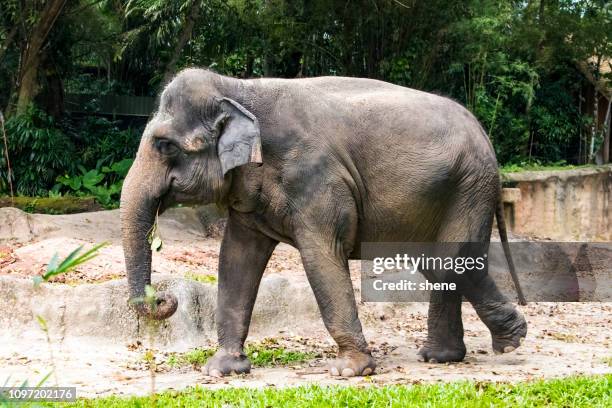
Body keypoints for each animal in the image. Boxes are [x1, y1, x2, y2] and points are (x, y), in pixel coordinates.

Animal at [119, 69, 524, 380]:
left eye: (165, 145)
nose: (166, 299)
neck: (239, 88)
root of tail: (484, 134)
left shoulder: (316, 179)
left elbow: (321, 256)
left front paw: (349, 371)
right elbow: (236, 258)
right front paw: (222, 370)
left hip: (468, 186)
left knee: (451, 260)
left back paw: (511, 339)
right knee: (438, 264)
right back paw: (443, 356)